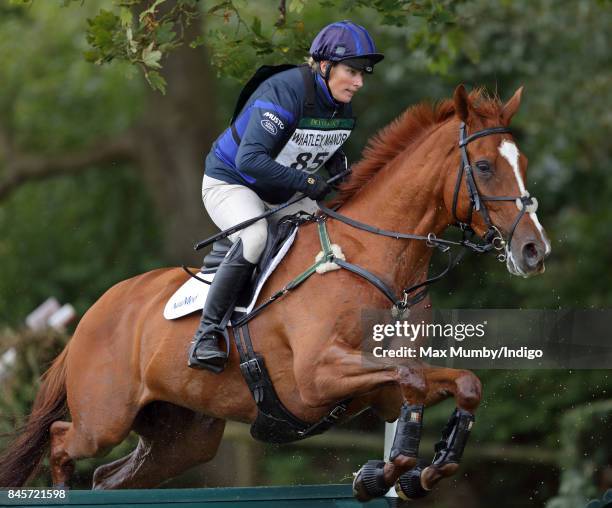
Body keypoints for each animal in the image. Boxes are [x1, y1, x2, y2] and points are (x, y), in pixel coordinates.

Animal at [0, 86, 548, 500]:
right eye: (483, 167)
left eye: (521, 160)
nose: (533, 250)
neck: (378, 261)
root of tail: (93, 314)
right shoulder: (317, 377)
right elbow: (411, 379)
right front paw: (381, 476)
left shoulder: (380, 389)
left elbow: (461, 382)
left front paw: (421, 471)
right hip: (104, 419)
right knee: (62, 440)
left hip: (181, 437)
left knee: (109, 477)